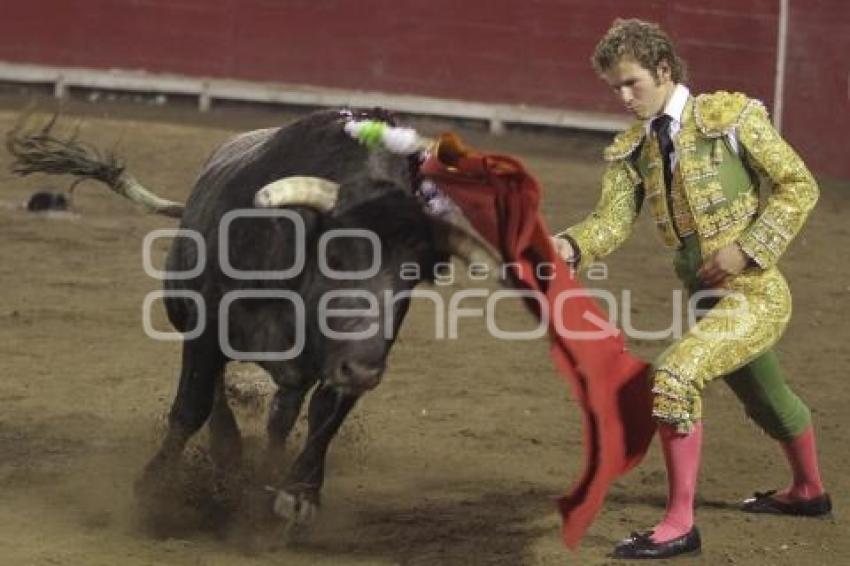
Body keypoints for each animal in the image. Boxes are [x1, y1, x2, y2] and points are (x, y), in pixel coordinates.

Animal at [6, 110, 494, 528]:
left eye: (412, 273)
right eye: (336, 254)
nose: (364, 371)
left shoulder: (349, 358)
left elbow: (324, 417)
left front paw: (297, 494)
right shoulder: (205, 328)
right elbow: (192, 405)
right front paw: (156, 487)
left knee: (282, 413)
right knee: (219, 396)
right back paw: (228, 458)